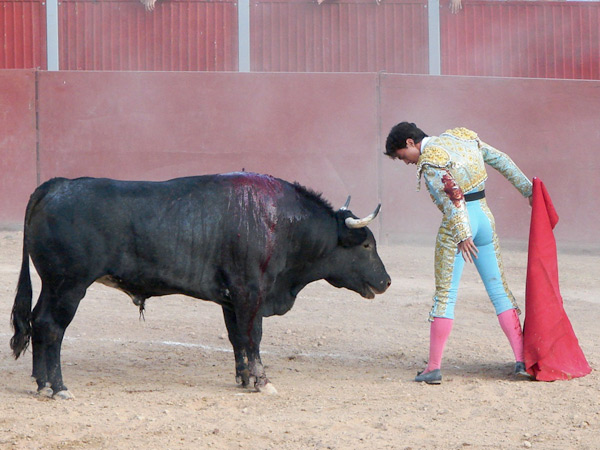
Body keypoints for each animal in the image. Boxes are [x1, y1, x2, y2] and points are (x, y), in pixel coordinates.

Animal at [11, 172, 392, 398]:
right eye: (366, 245)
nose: (386, 281)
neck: (280, 222)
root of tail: (55, 185)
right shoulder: (250, 291)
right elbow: (254, 337)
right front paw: (262, 380)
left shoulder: (230, 299)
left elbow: (237, 338)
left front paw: (244, 378)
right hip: (69, 285)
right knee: (52, 327)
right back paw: (58, 387)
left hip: (52, 284)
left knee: (37, 322)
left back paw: (40, 383)